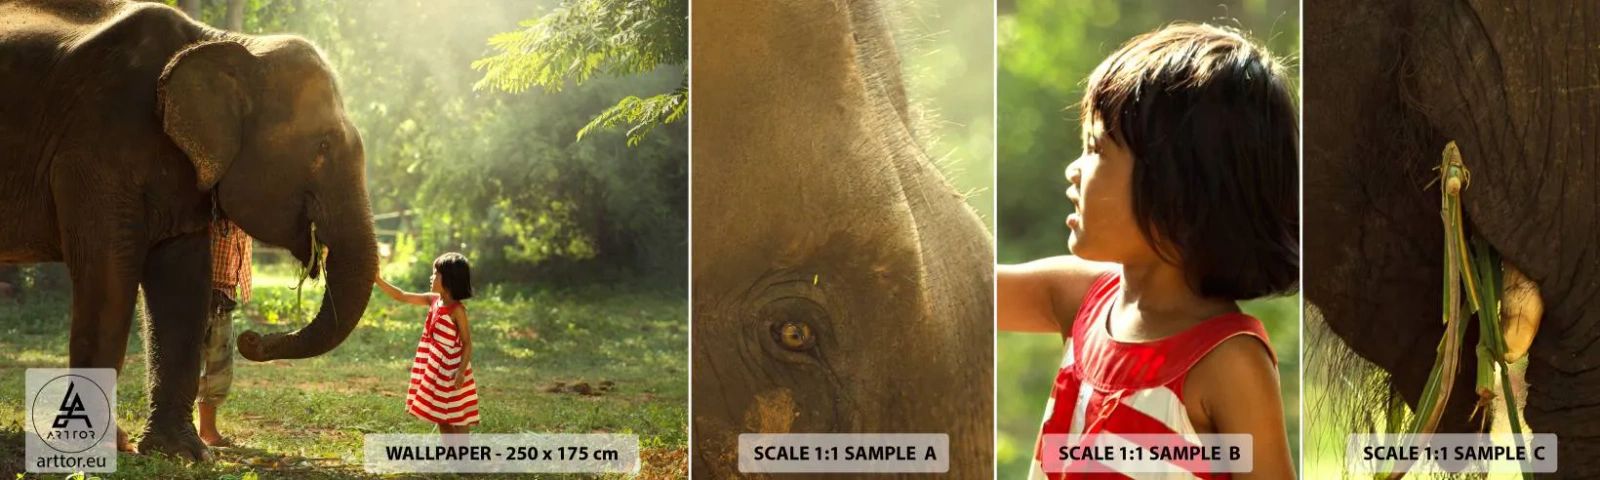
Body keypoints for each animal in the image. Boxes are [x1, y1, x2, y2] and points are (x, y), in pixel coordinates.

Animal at [0, 0, 377, 459]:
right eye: (322, 147)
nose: (250, 339)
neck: (218, 42)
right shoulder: (93, 151)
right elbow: (107, 275)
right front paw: (95, 449)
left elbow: (182, 280)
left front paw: (182, 453)